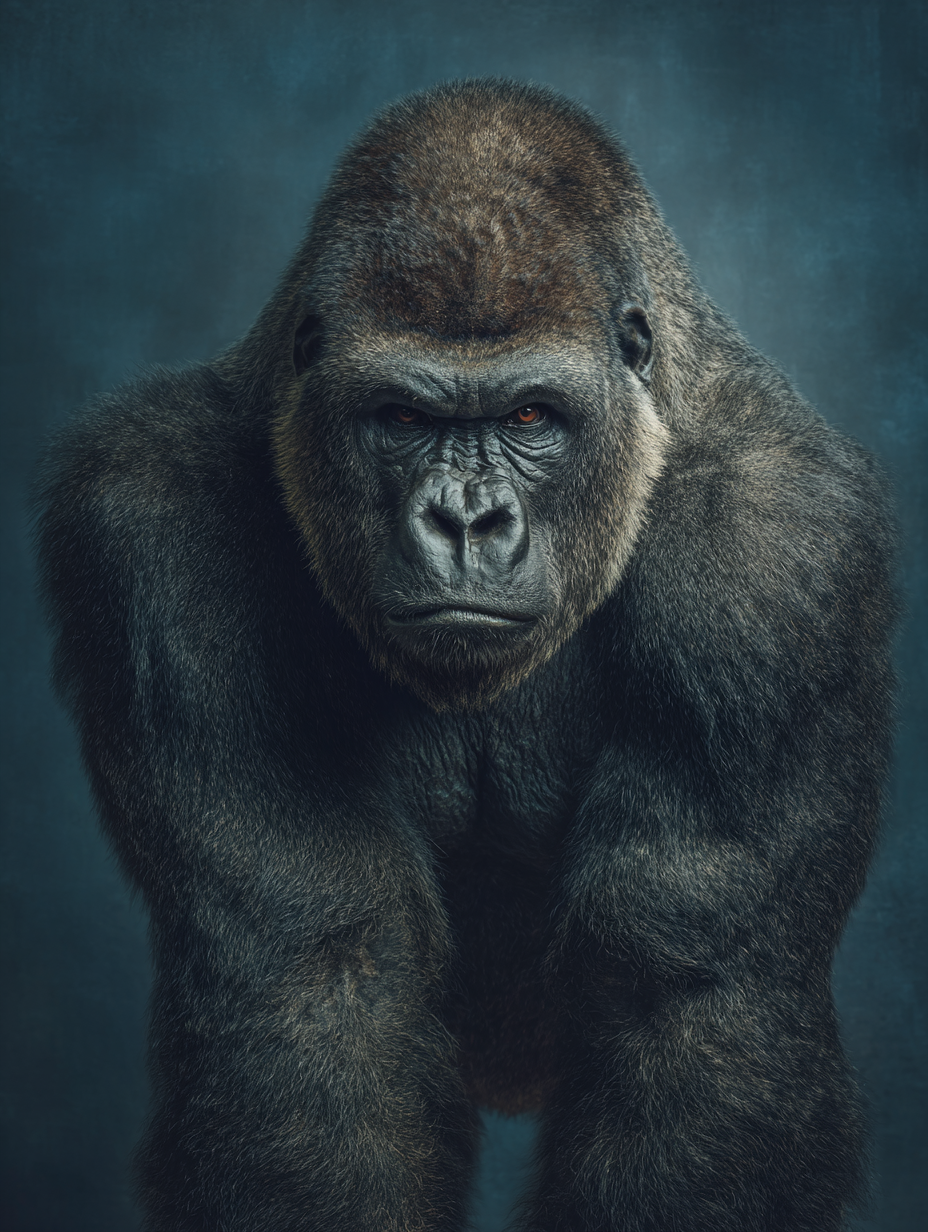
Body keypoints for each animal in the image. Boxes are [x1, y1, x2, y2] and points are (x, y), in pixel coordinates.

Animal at [35, 79, 897, 1231]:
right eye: (401, 417)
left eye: (531, 414)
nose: (465, 519)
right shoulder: (150, 535)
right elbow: (310, 988)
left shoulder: (783, 560)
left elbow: (689, 1005)